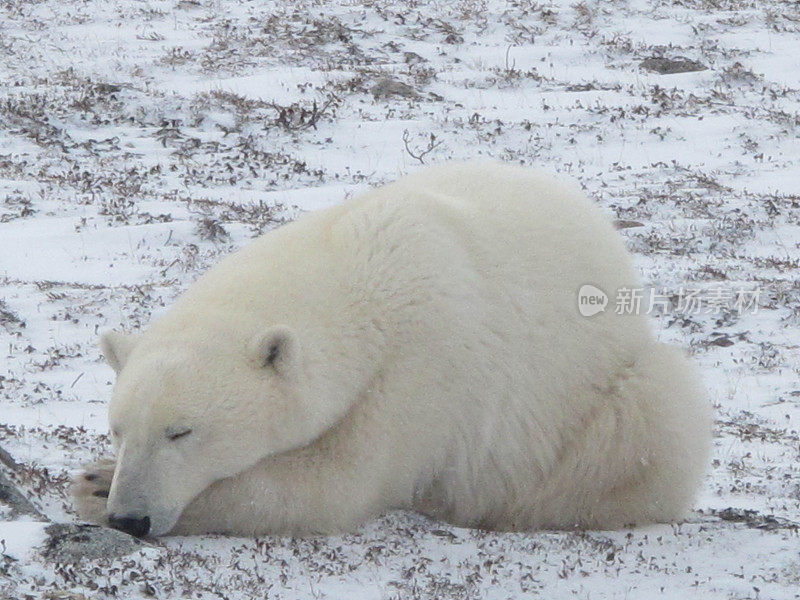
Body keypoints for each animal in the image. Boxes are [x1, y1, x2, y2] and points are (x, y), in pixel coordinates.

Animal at [73, 162, 712, 536]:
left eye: (181, 432)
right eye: (119, 429)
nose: (130, 518)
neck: (369, 268)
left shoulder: (424, 369)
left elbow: (337, 484)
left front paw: (93, 489)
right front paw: (98, 477)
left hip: (598, 392)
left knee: (642, 424)